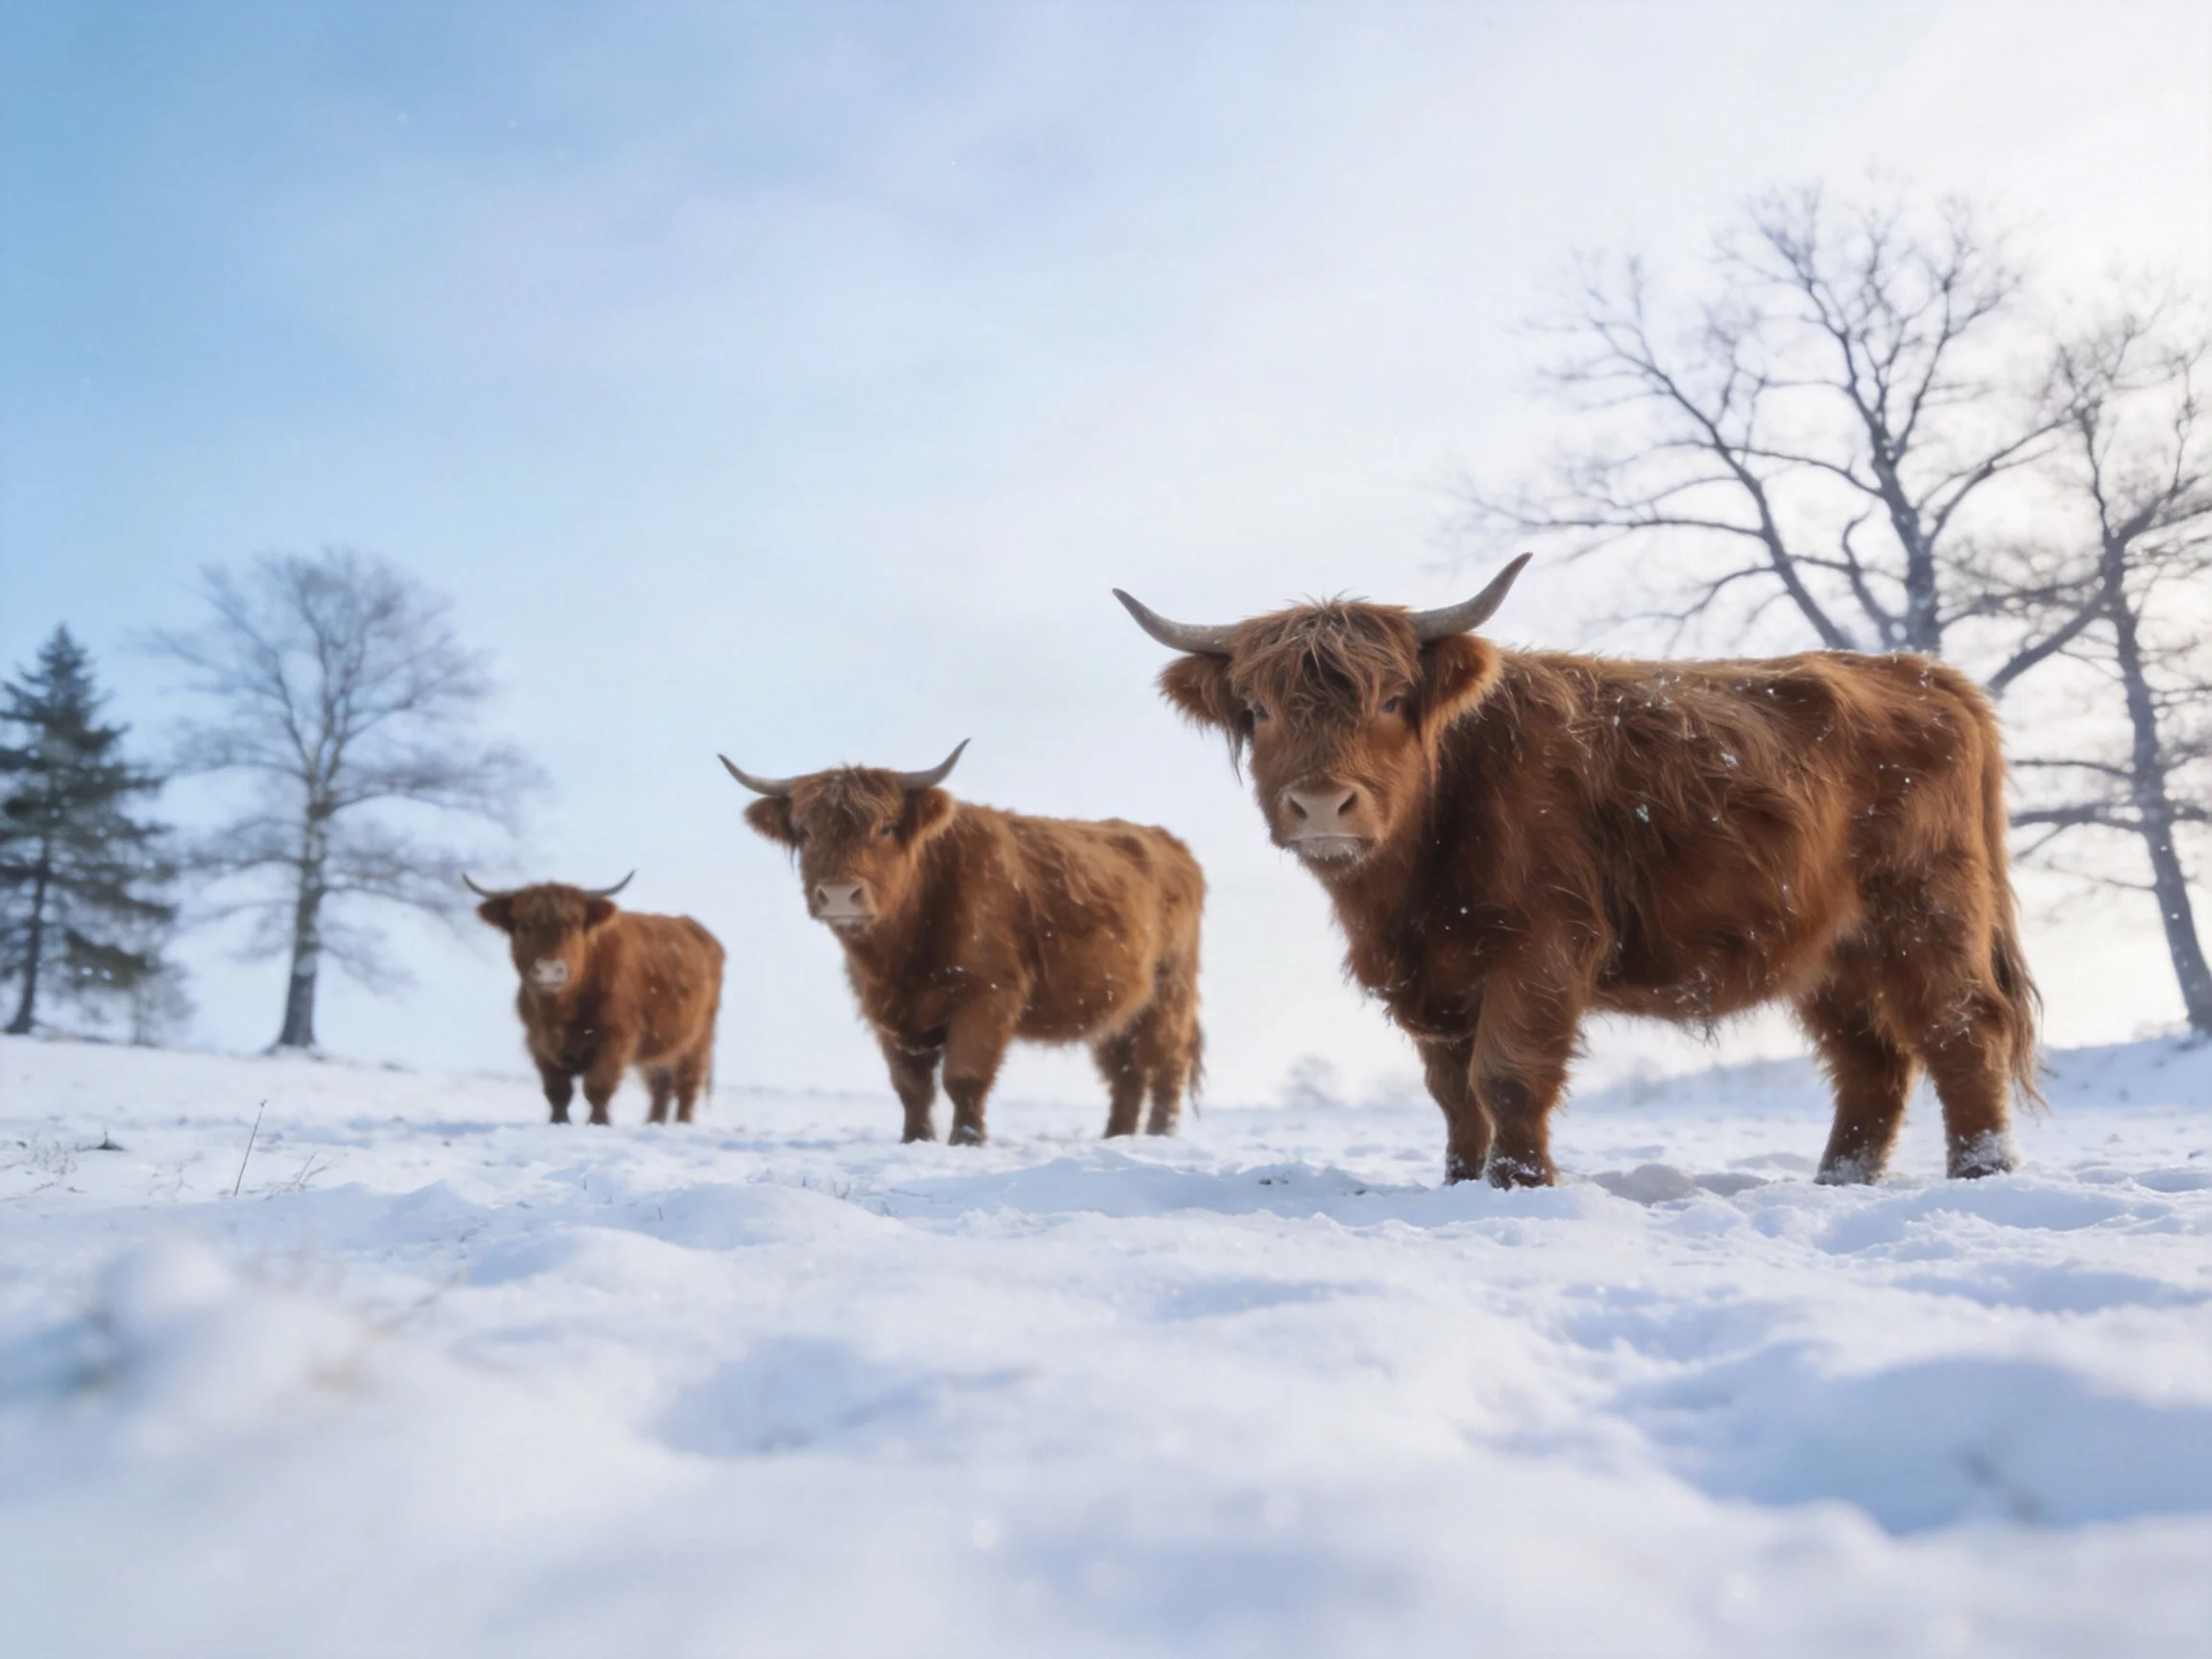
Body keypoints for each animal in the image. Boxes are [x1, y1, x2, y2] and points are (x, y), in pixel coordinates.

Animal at [467, 873, 724, 1126]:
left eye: (573, 925)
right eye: (525, 925)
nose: (550, 970)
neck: (561, 1009)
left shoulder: (618, 1036)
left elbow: (598, 1084)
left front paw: (598, 1122)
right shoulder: (537, 1041)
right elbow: (557, 1090)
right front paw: (558, 1122)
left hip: (699, 1038)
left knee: (686, 1085)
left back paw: (682, 1123)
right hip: (660, 1046)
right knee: (661, 1086)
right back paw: (654, 1123)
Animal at [721, 742, 1205, 1146]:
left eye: (886, 828)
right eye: (804, 832)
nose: (840, 895)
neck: (901, 955)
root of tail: (1169, 843)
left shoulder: (988, 995)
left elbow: (964, 1076)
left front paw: (967, 1141)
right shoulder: (886, 1011)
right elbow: (911, 1087)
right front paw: (915, 1141)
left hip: (1170, 993)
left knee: (1166, 1064)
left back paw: (1159, 1136)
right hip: (1118, 1006)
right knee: (1126, 1072)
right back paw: (1117, 1137)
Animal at [1115, 555, 2040, 1188]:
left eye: (1391, 701)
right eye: (1258, 710)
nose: (1320, 805)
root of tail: (1926, 673)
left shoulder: (1542, 944)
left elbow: (1506, 1077)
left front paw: (1518, 1187)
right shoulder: (1431, 975)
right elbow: (1453, 1092)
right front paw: (1458, 1184)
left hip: (1927, 913)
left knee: (1962, 1032)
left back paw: (1980, 1174)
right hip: (1830, 949)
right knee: (1871, 1061)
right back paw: (1838, 1182)